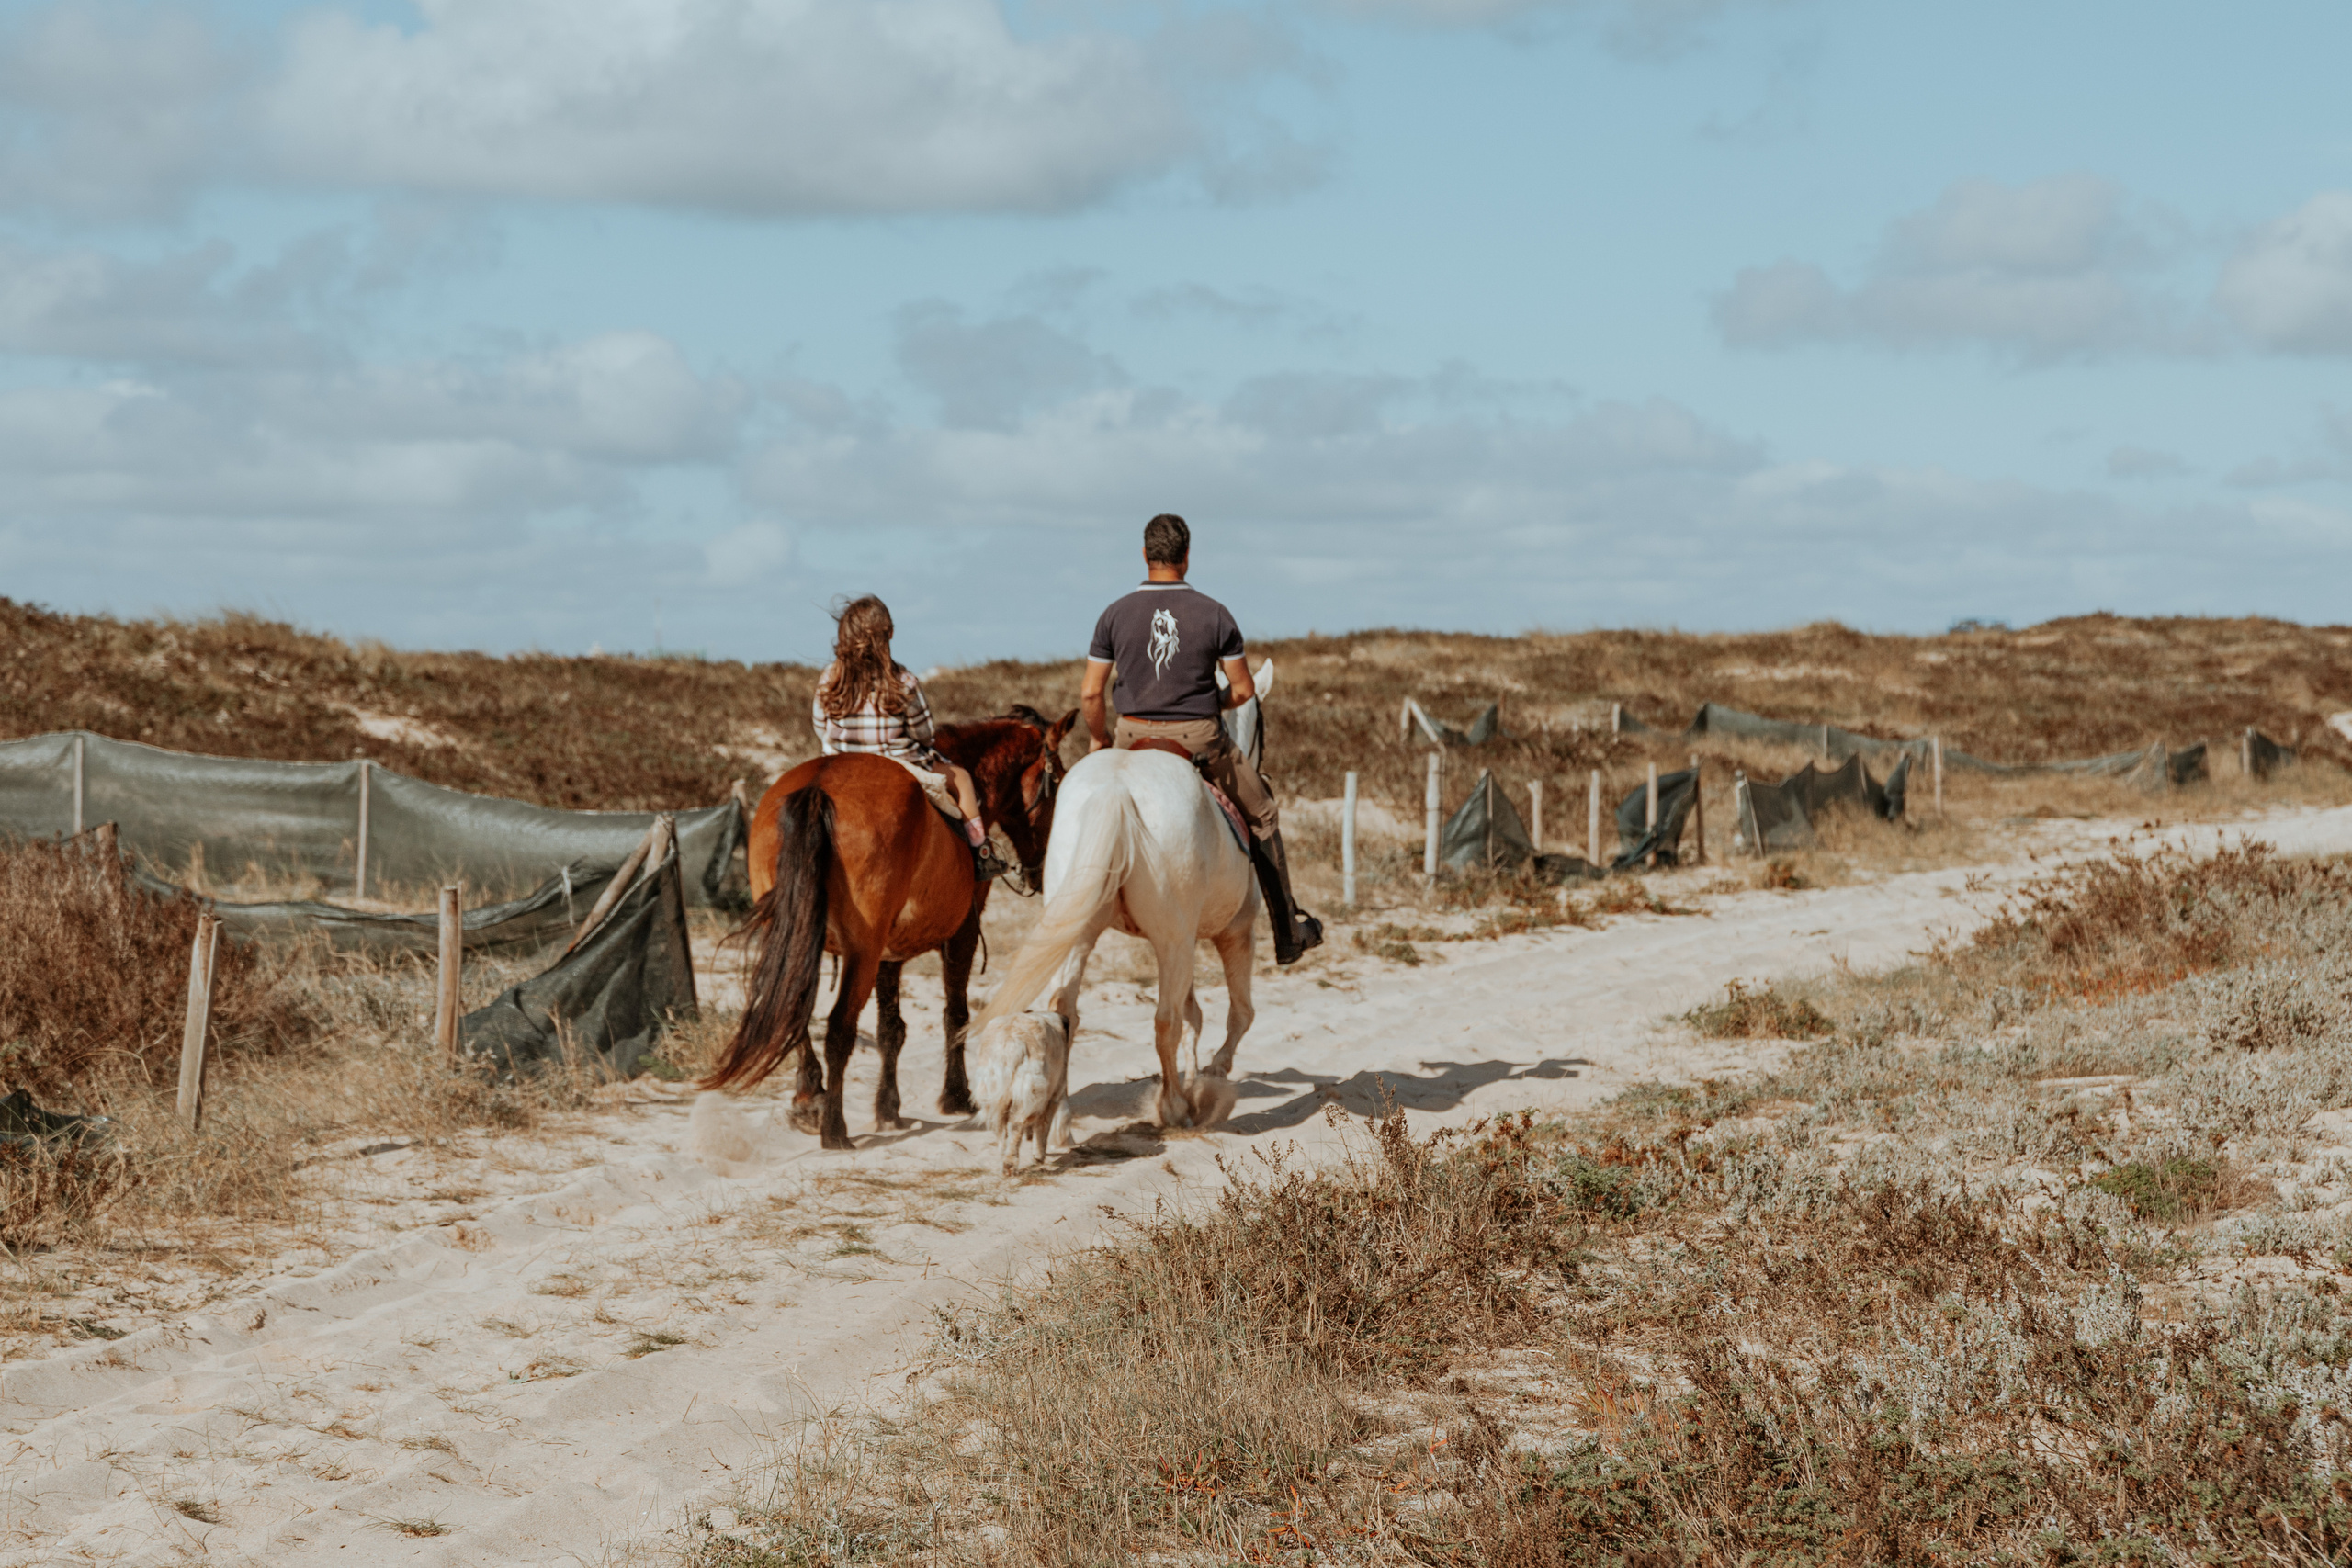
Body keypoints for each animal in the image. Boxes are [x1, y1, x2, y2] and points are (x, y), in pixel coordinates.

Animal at [700, 705, 1076, 1149]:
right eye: (1059, 780)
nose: (1042, 868)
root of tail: (818, 786)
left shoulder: (889, 949)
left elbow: (890, 1029)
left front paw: (888, 1108)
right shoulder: (962, 931)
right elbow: (955, 1014)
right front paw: (956, 1096)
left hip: (801, 940)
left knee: (796, 1015)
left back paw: (810, 1103)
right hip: (861, 951)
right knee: (840, 1028)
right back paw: (834, 1128)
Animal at [968, 745, 1258, 1131]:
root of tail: (1116, 787)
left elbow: (1196, 1016)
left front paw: (1198, 1078)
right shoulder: (1235, 932)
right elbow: (1237, 1013)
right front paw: (1212, 1074)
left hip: (1079, 936)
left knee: (1065, 1013)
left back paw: (1060, 1113)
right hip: (1173, 942)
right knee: (1167, 1020)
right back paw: (1175, 1107)